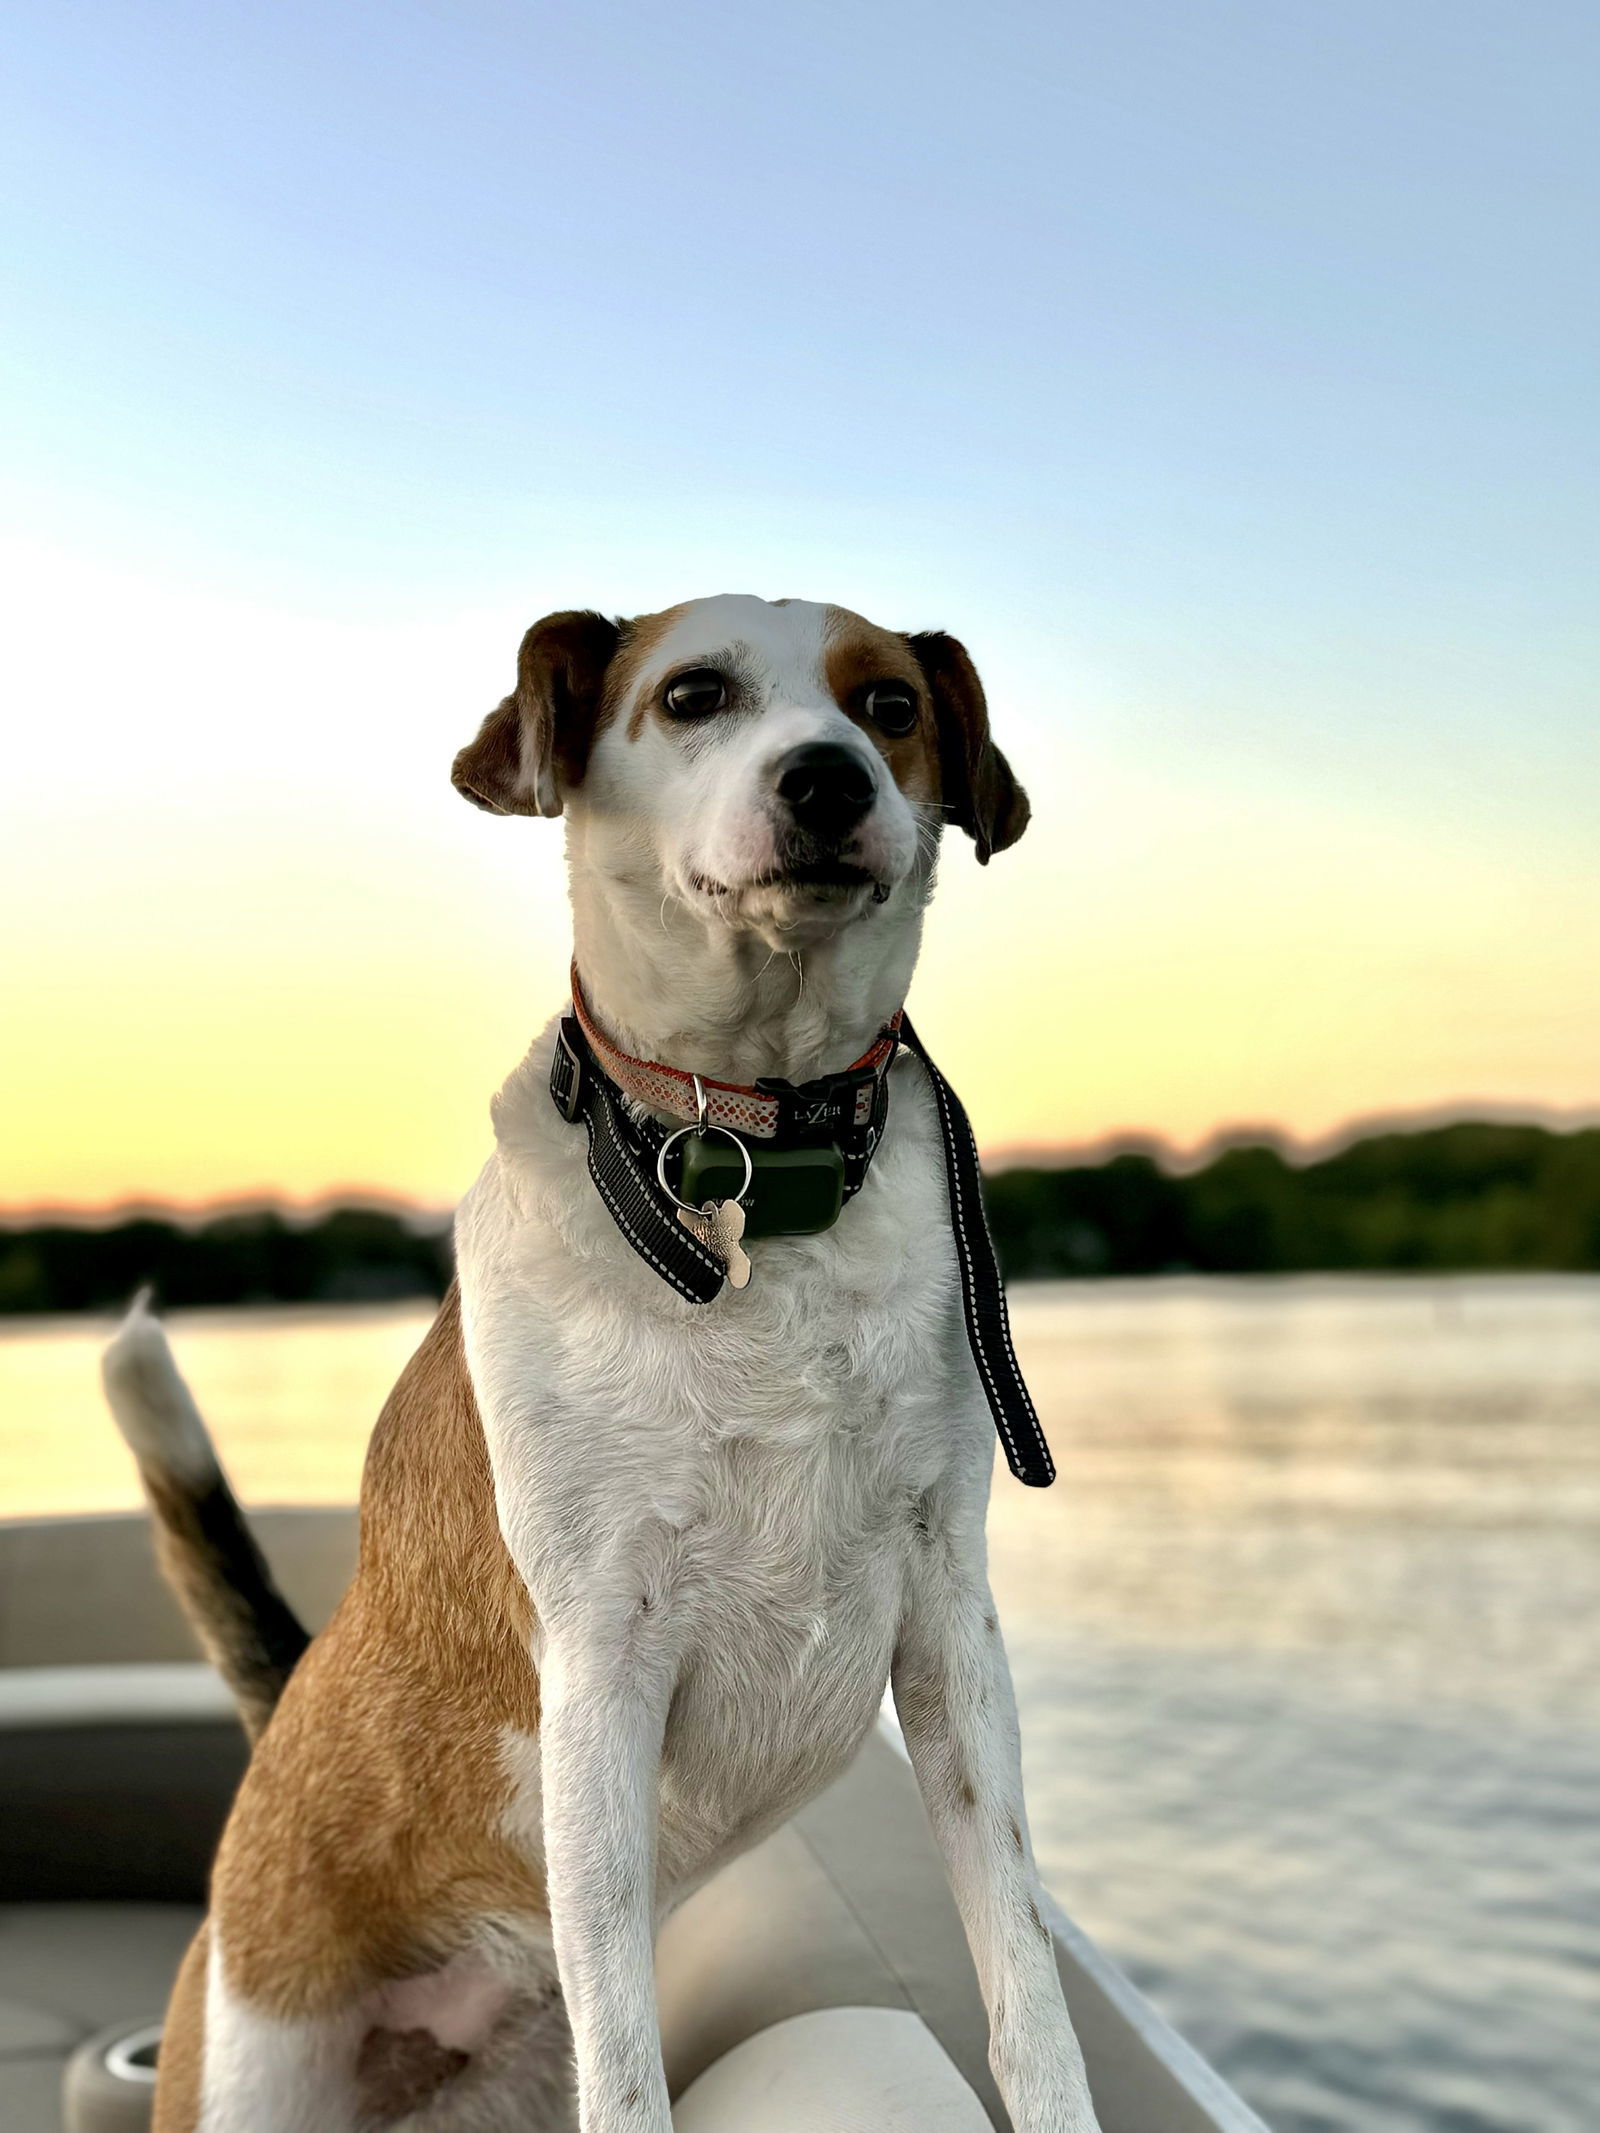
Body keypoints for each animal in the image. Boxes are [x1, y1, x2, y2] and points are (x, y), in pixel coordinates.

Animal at [106, 597, 1109, 2133]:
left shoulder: (950, 1626)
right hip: (253, 2067)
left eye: (887, 705)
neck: (758, 1161)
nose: (827, 778)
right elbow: (628, 2065)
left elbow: (1022, 1971)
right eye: (692, 696)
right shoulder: (598, 1673)